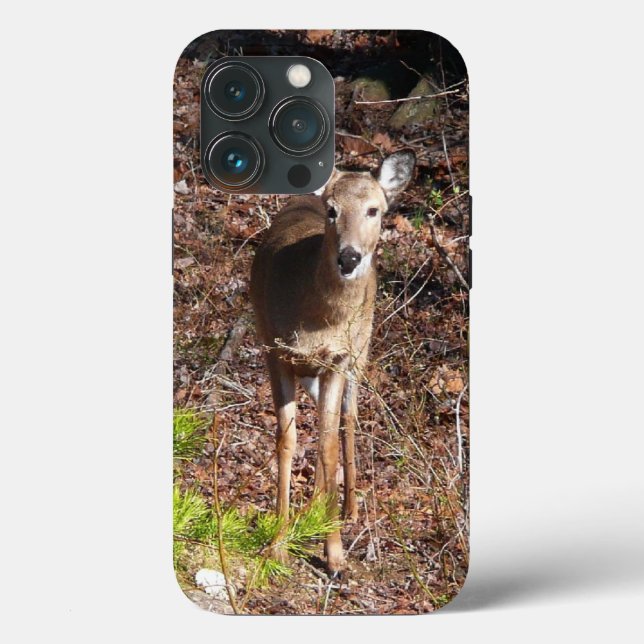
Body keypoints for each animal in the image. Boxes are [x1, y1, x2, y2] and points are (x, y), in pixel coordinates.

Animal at [250, 151, 415, 573]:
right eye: (332, 210)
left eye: (374, 210)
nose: (349, 257)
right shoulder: (274, 350)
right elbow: (287, 440)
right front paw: (278, 543)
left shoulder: (338, 359)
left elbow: (325, 445)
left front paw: (335, 553)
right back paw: (315, 508)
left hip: (361, 350)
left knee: (348, 420)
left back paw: (348, 509)